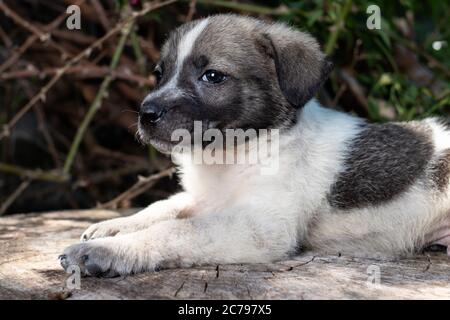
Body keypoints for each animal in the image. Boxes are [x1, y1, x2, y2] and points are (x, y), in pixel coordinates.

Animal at [59, 13, 450, 276]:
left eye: (212, 76)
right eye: (160, 74)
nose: (145, 113)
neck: (234, 154)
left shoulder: (261, 228)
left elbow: (178, 229)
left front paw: (108, 250)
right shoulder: (206, 198)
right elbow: (165, 206)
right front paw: (116, 226)